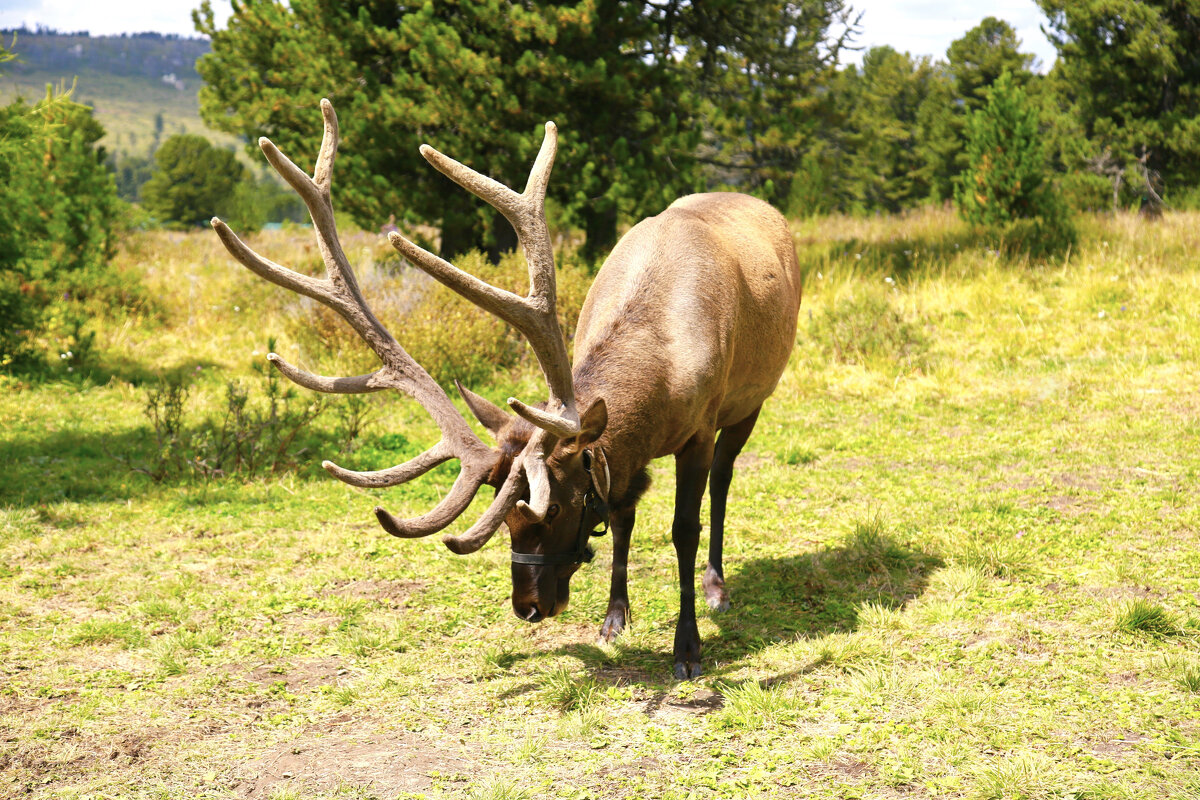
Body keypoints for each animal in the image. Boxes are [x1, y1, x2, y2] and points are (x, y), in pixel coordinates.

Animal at [211, 98, 801, 676]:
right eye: (502, 511)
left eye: (553, 509)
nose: (528, 607)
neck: (663, 373)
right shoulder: (622, 456)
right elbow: (622, 516)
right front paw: (613, 620)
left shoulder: (699, 428)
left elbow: (683, 529)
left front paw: (687, 647)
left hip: (753, 400)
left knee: (724, 480)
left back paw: (718, 586)